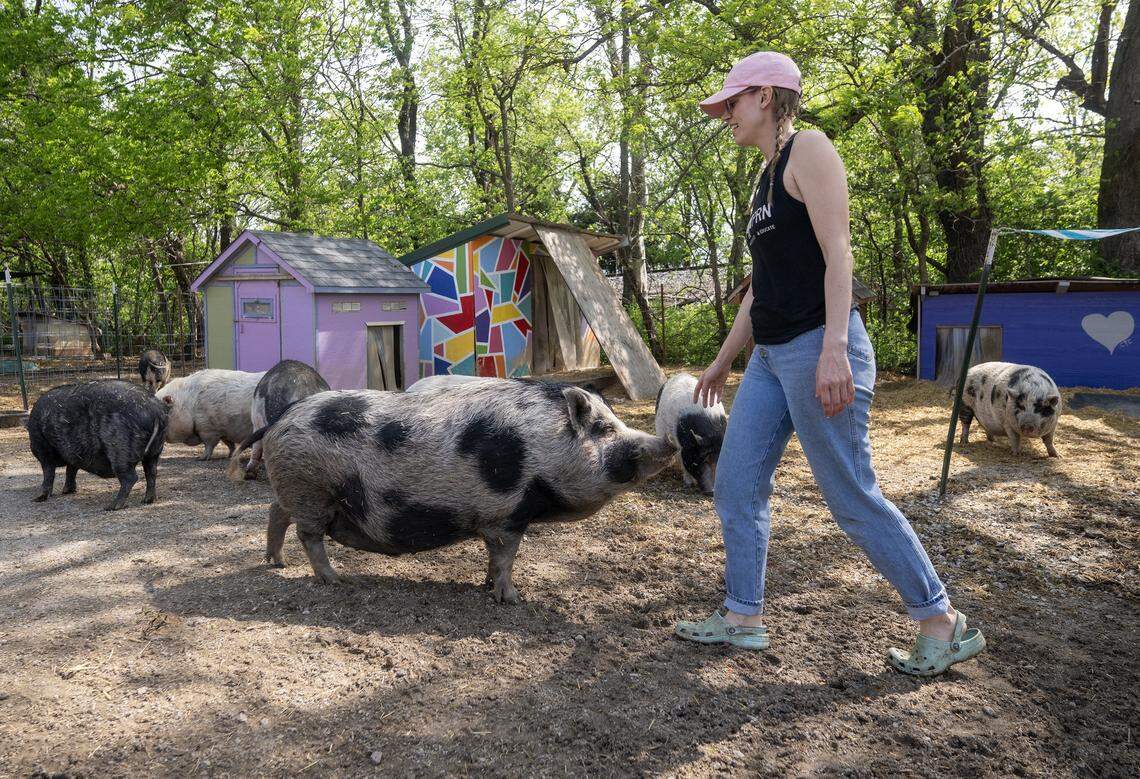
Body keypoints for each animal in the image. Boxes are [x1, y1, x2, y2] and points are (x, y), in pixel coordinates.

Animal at [27, 380, 168, 510]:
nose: (31, 446)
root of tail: (154, 411)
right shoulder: (73, 454)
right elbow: (71, 470)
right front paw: (67, 491)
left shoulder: (44, 449)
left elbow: (49, 473)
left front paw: (37, 499)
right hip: (155, 451)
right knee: (151, 472)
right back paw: (147, 500)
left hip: (119, 450)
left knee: (131, 477)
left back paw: (111, 507)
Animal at [257, 378, 676, 604]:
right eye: (604, 429)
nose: (668, 442)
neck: (545, 450)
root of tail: (281, 418)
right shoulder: (506, 514)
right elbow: (506, 556)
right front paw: (513, 599)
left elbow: (496, 558)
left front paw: (489, 585)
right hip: (310, 488)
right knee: (308, 535)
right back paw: (336, 580)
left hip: (296, 489)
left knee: (276, 513)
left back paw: (277, 563)